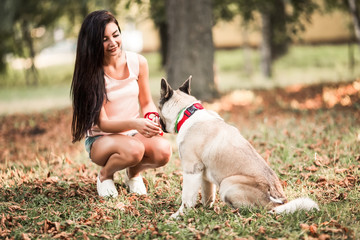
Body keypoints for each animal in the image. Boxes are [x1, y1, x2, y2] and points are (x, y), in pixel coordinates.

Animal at [158, 76, 318, 218]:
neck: (186, 113)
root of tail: (278, 203)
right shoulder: (203, 174)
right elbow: (207, 194)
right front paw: (205, 208)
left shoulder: (191, 170)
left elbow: (186, 198)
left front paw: (179, 215)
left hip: (227, 185)